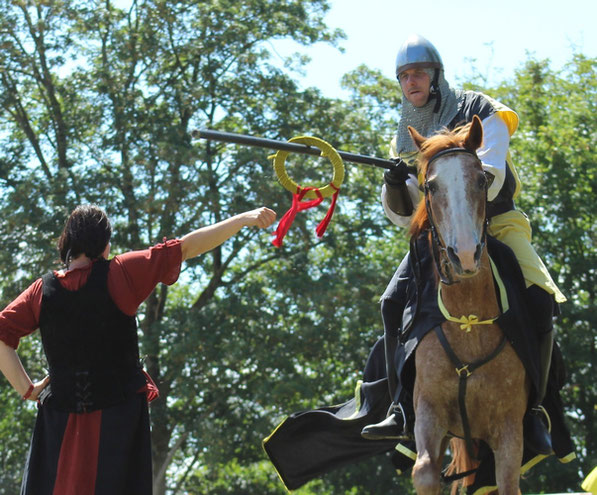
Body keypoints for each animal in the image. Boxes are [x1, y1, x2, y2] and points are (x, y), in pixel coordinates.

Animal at [406, 114, 528, 494]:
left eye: (481, 179)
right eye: (430, 187)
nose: (464, 255)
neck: (468, 321)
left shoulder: (509, 428)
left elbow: (507, 481)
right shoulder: (429, 410)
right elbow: (424, 471)